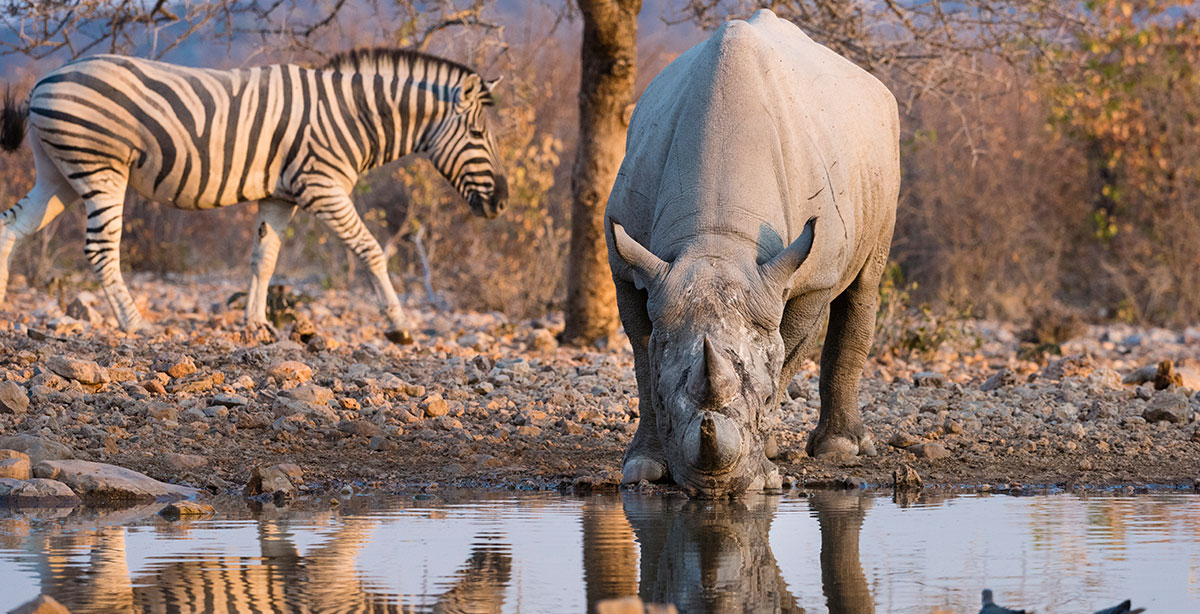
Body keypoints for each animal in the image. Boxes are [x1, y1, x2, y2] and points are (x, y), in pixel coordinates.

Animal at [0, 46, 501, 345]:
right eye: (478, 135)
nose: (500, 204)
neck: (351, 115)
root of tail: (43, 81)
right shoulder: (323, 187)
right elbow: (370, 249)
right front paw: (398, 327)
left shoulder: (282, 196)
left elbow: (265, 258)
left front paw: (256, 325)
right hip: (100, 168)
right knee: (100, 249)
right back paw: (136, 324)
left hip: (59, 175)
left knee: (11, 227)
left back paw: (3, 305)